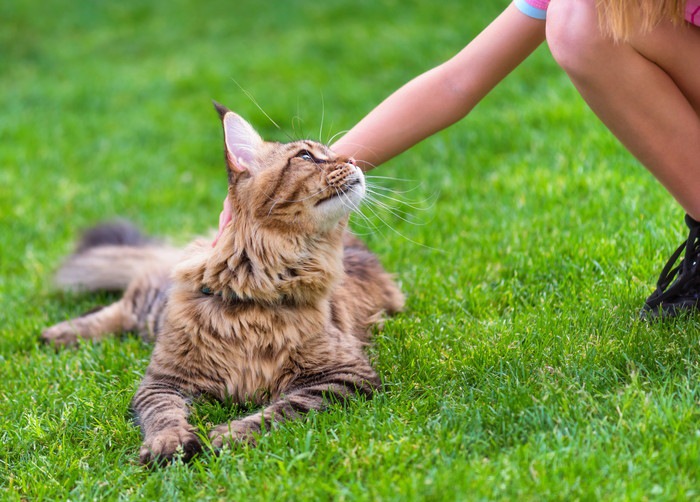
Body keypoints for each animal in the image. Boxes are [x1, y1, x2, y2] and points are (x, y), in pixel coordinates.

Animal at [42, 103, 404, 466]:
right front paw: (169, 443)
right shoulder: (164, 380)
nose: (354, 160)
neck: (257, 293)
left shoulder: (346, 376)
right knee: (123, 305)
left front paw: (228, 435)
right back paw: (59, 333)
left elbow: (283, 411)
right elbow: (162, 413)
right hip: (157, 309)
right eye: (306, 156)